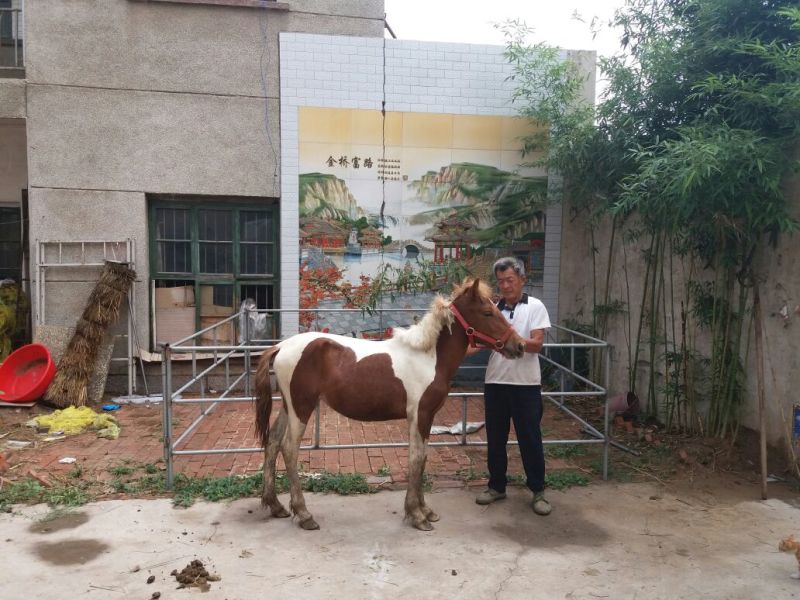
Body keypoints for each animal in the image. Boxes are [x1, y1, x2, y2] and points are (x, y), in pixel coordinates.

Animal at [254, 278, 526, 531]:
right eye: (488, 312)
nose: (520, 346)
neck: (429, 357)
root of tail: (281, 347)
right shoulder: (419, 414)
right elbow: (416, 458)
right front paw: (416, 515)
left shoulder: (427, 417)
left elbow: (423, 458)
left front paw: (426, 511)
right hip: (301, 408)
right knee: (289, 449)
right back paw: (304, 515)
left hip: (289, 407)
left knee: (273, 443)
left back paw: (276, 506)